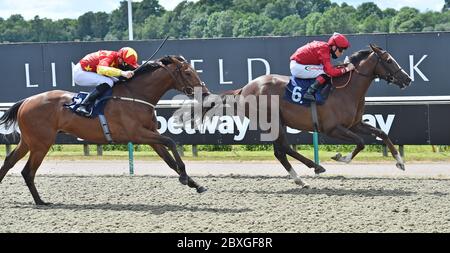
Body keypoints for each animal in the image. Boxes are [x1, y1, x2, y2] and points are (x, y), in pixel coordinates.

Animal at [0, 55, 211, 206]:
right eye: (188, 72)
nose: (206, 93)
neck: (136, 95)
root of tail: (26, 101)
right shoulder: (138, 134)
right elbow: (171, 142)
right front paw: (184, 176)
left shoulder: (151, 136)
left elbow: (169, 160)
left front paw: (195, 184)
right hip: (41, 143)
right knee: (28, 171)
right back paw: (40, 201)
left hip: (29, 141)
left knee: (10, 162)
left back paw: (36, 199)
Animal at [204, 43, 412, 187]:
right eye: (389, 60)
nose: (408, 79)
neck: (346, 90)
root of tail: (244, 88)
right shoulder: (332, 128)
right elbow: (360, 142)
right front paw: (340, 157)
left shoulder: (355, 124)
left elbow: (382, 133)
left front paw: (400, 162)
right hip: (272, 121)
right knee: (283, 149)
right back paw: (313, 169)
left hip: (276, 123)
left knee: (281, 151)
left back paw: (303, 177)